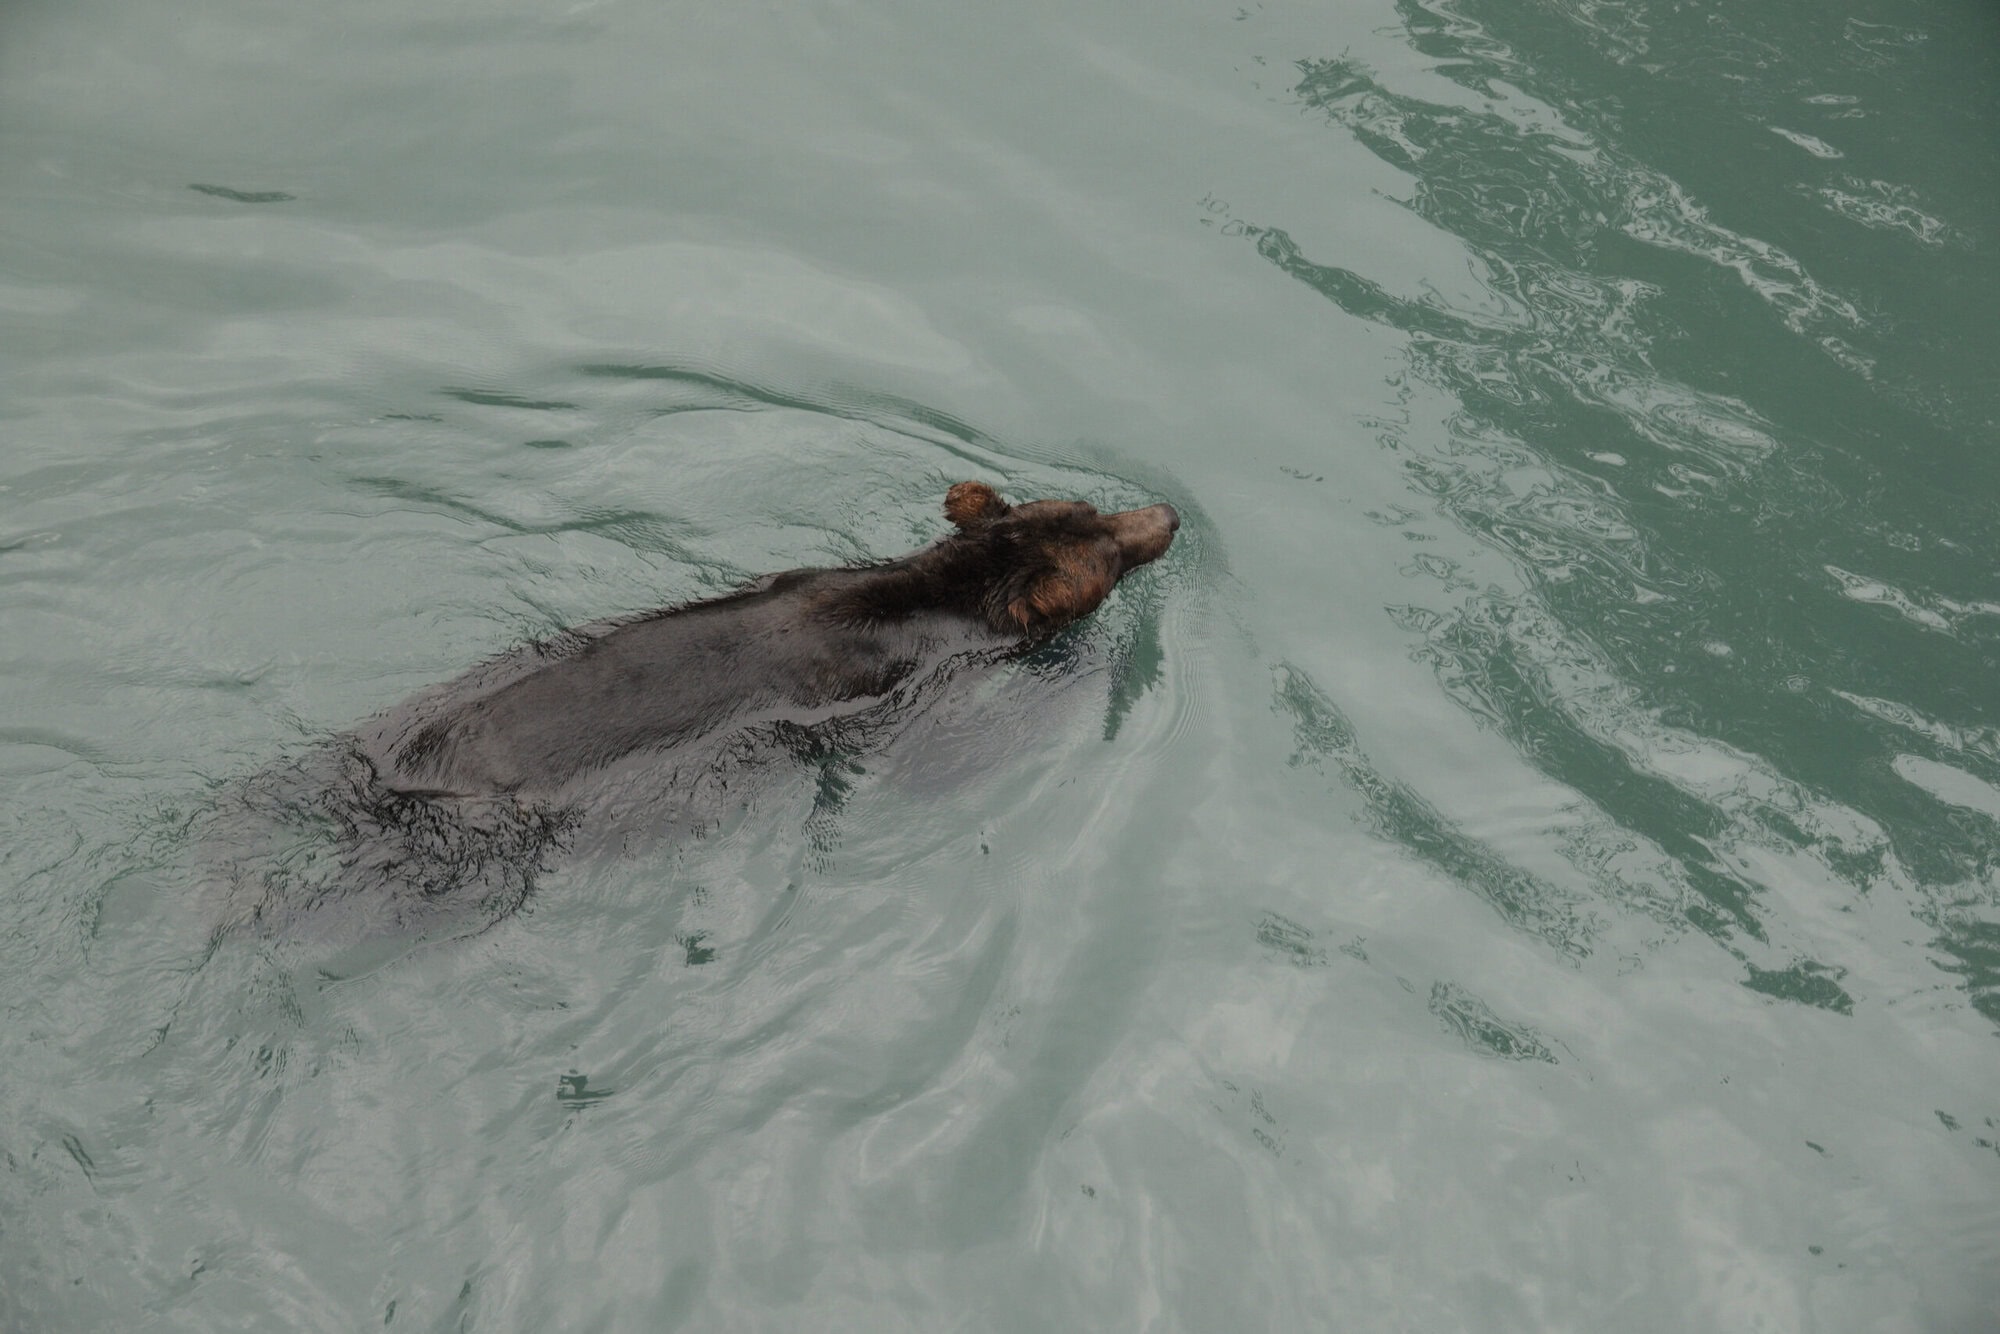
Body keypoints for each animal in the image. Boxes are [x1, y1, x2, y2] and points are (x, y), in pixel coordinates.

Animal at [204, 482, 1178, 943]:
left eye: (1093, 509)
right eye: (1106, 554)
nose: (1167, 512)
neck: (937, 598)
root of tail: (387, 782)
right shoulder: (897, 694)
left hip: (373, 733)